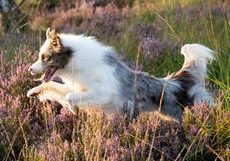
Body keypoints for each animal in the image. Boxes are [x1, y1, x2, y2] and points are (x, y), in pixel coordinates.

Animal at [26, 28, 214, 122]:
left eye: (45, 57)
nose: (29, 69)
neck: (76, 61)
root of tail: (174, 83)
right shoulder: (81, 88)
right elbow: (52, 85)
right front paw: (34, 91)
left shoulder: (104, 94)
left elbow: (70, 97)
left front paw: (73, 109)